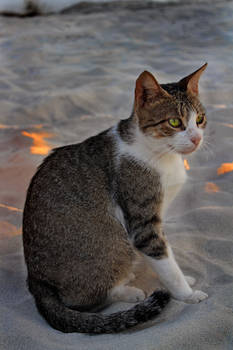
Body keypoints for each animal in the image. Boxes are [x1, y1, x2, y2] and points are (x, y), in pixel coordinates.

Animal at [22, 63, 208, 334]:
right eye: (175, 122)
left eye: (200, 119)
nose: (196, 138)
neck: (160, 154)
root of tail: (37, 282)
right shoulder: (143, 223)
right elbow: (165, 262)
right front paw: (186, 293)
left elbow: (167, 255)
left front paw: (186, 278)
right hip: (115, 241)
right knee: (85, 301)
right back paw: (128, 291)